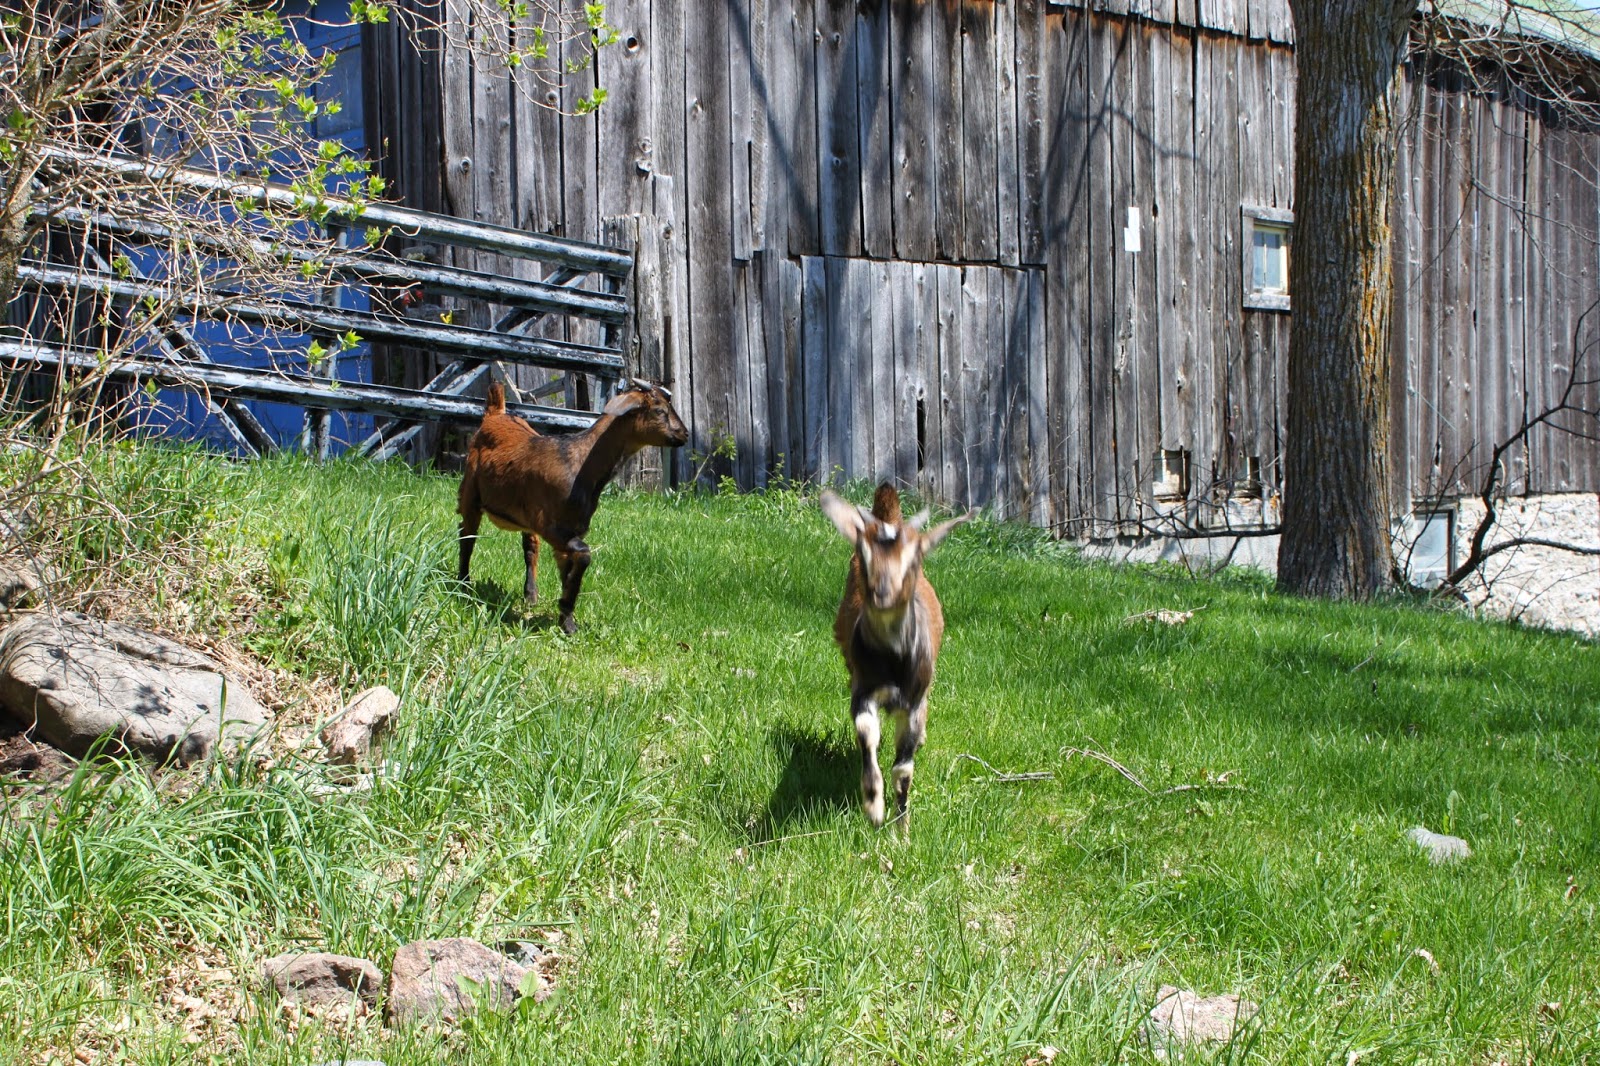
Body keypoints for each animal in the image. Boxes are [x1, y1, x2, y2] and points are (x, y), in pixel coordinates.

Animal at [457, 378, 688, 633]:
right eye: (659, 410)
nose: (684, 434)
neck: (579, 463)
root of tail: (495, 414)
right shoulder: (552, 526)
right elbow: (584, 555)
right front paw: (567, 615)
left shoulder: (571, 528)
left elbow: (569, 566)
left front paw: (566, 618)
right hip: (470, 493)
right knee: (466, 536)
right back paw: (463, 585)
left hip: (524, 515)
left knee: (530, 547)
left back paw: (530, 595)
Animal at [821, 483, 975, 832]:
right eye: (863, 554)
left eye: (914, 558)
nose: (883, 594)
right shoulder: (863, 689)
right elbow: (866, 733)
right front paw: (874, 806)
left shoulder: (914, 702)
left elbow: (903, 769)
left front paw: (901, 830)